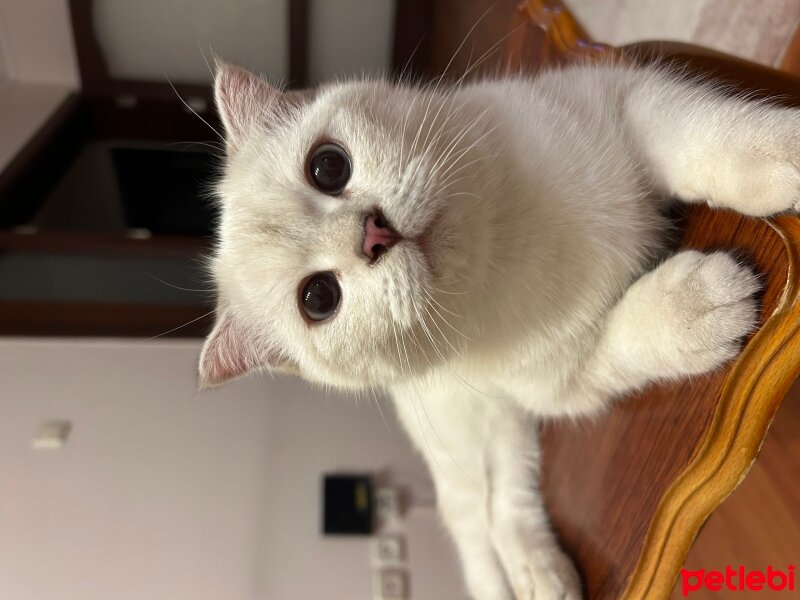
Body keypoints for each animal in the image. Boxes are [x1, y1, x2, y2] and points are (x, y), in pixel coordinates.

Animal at [197, 61, 796, 600]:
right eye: (318, 298)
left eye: (327, 167)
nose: (372, 235)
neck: (502, 243)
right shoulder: (563, 379)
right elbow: (632, 333)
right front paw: (696, 305)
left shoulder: (623, 98)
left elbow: (710, 139)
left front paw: (784, 152)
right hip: (470, 443)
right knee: (479, 516)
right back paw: (531, 581)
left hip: (506, 425)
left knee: (508, 500)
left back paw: (541, 575)